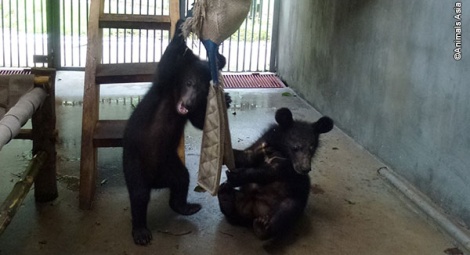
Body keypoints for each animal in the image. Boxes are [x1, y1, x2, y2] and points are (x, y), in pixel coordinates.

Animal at [218, 107, 334, 239]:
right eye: (295, 147)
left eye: (311, 148)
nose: (305, 168)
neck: (278, 148)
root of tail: (254, 212)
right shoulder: (260, 144)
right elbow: (244, 157)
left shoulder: (287, 168)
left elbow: (270, 172)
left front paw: (236, 176)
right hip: (242, 199)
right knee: (232, 212)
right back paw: (225, 196)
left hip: (291, 202)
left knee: (286, 211)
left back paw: (262, 226)